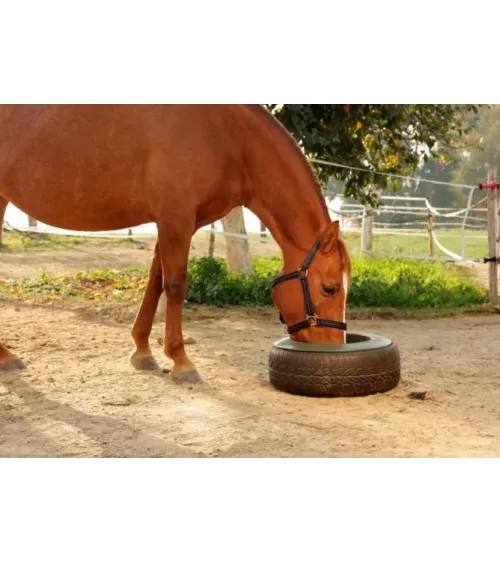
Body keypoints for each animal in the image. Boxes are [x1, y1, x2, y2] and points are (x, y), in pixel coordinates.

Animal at [0, 105, 352, 384]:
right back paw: (6, 355)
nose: (334, 348)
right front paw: (181, 361)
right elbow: (175, 285)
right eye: (330, 288)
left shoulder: (175, 223)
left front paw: (142, 351)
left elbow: (155, 281)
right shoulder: (176, 219)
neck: (227, 136)